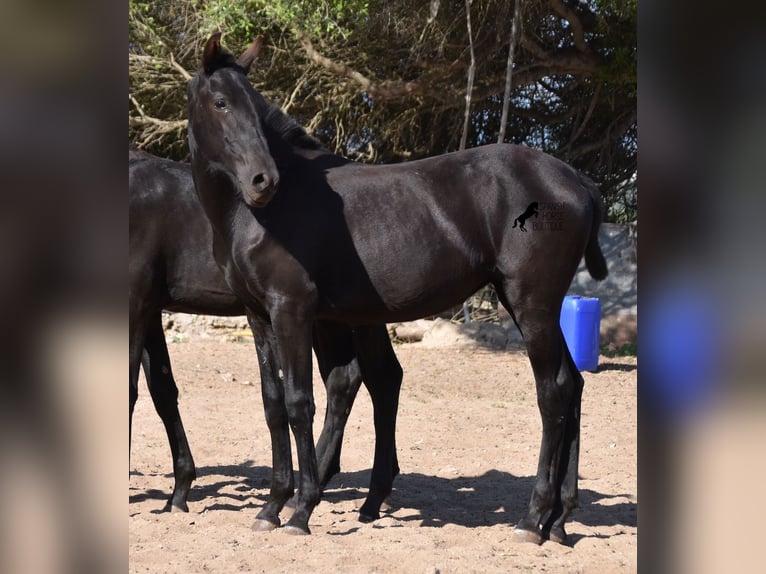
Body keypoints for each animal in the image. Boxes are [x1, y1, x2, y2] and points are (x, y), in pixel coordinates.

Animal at [129, 146, 404, 516]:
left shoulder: (137, 303)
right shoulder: (151, 310)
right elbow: (162, 391)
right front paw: (179, 492)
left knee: (378, 380)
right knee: (354, 380)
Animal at [184, 36, 608, 544]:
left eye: (253, 104)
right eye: (221, 102)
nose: (262, 181)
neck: (261, 214)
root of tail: (576, 180)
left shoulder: (293, 311)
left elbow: (299, 403)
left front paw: (301, 510)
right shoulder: (258, 315)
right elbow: (273, 404)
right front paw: (271, 507)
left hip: (532, 306)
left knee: (554, 391)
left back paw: (532, 519)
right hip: (536, 307)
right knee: (575, 385)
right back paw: (559, 521)